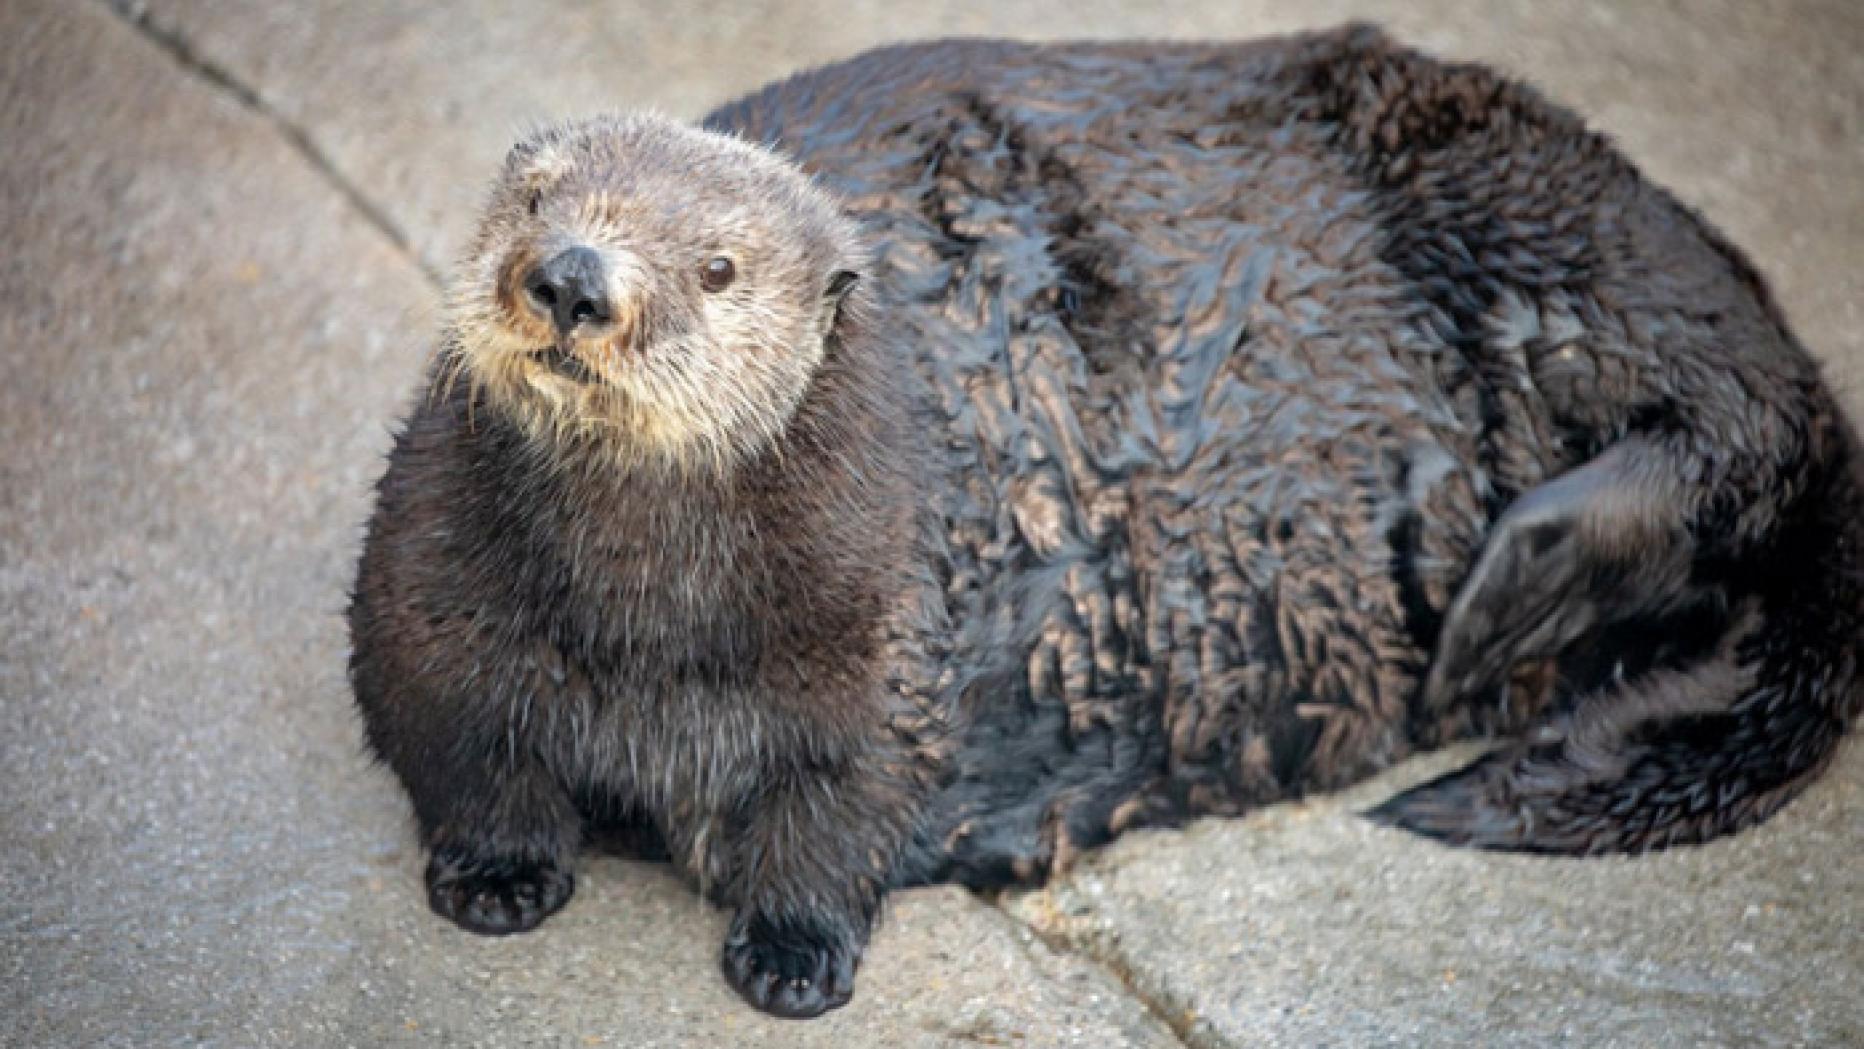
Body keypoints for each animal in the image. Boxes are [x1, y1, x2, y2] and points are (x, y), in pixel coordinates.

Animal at [348, 25, 1863, 1019]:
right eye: (533, 198)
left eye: (715, 267)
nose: (571, 276)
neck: (646, 628)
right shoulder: (428, 585)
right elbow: (455, 737)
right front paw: (495, 877)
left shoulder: (882, 634)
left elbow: (846, 802)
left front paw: (794, 953)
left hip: (1539, 208)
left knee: (1752, 419)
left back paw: (1512, 587)